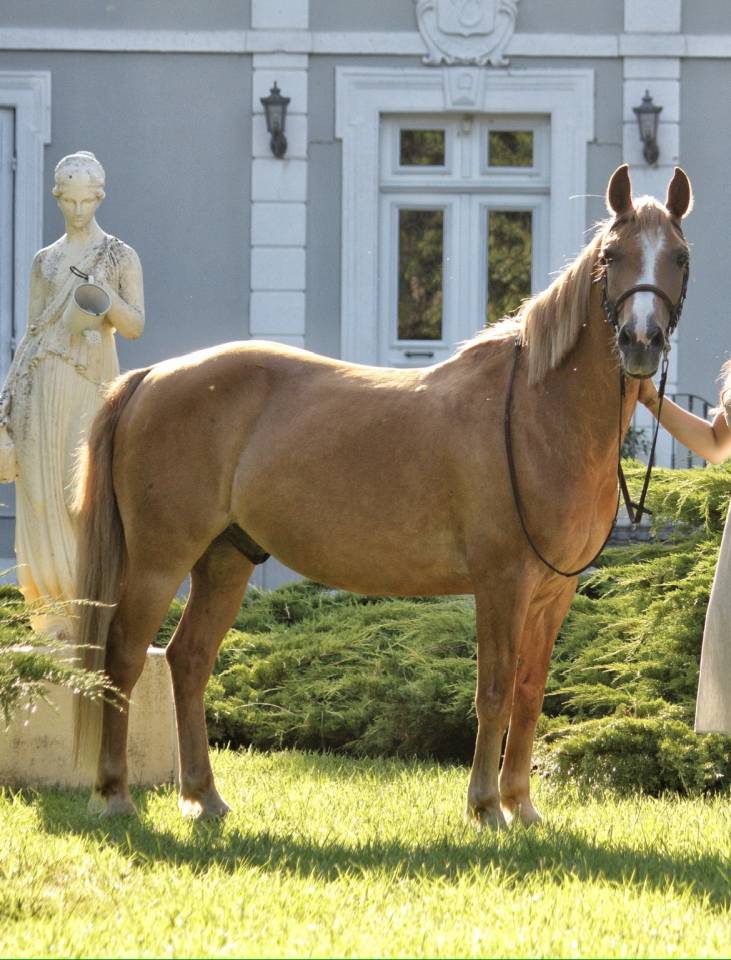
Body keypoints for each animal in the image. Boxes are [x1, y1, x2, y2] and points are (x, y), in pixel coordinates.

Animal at [73, 164, 692, 827]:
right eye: (612, 255)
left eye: (679, 256)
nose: (642, 340)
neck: (535, 413)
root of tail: (149, 379)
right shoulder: (502, 582)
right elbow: (494, 690)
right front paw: (485, 807)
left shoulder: (554, 592)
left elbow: (529, 692)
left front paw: (522, 807)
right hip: (159, 560)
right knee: (124, 657)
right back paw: (115, 794)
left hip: (224, 559)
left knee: (187, 662)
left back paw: (204, 797)